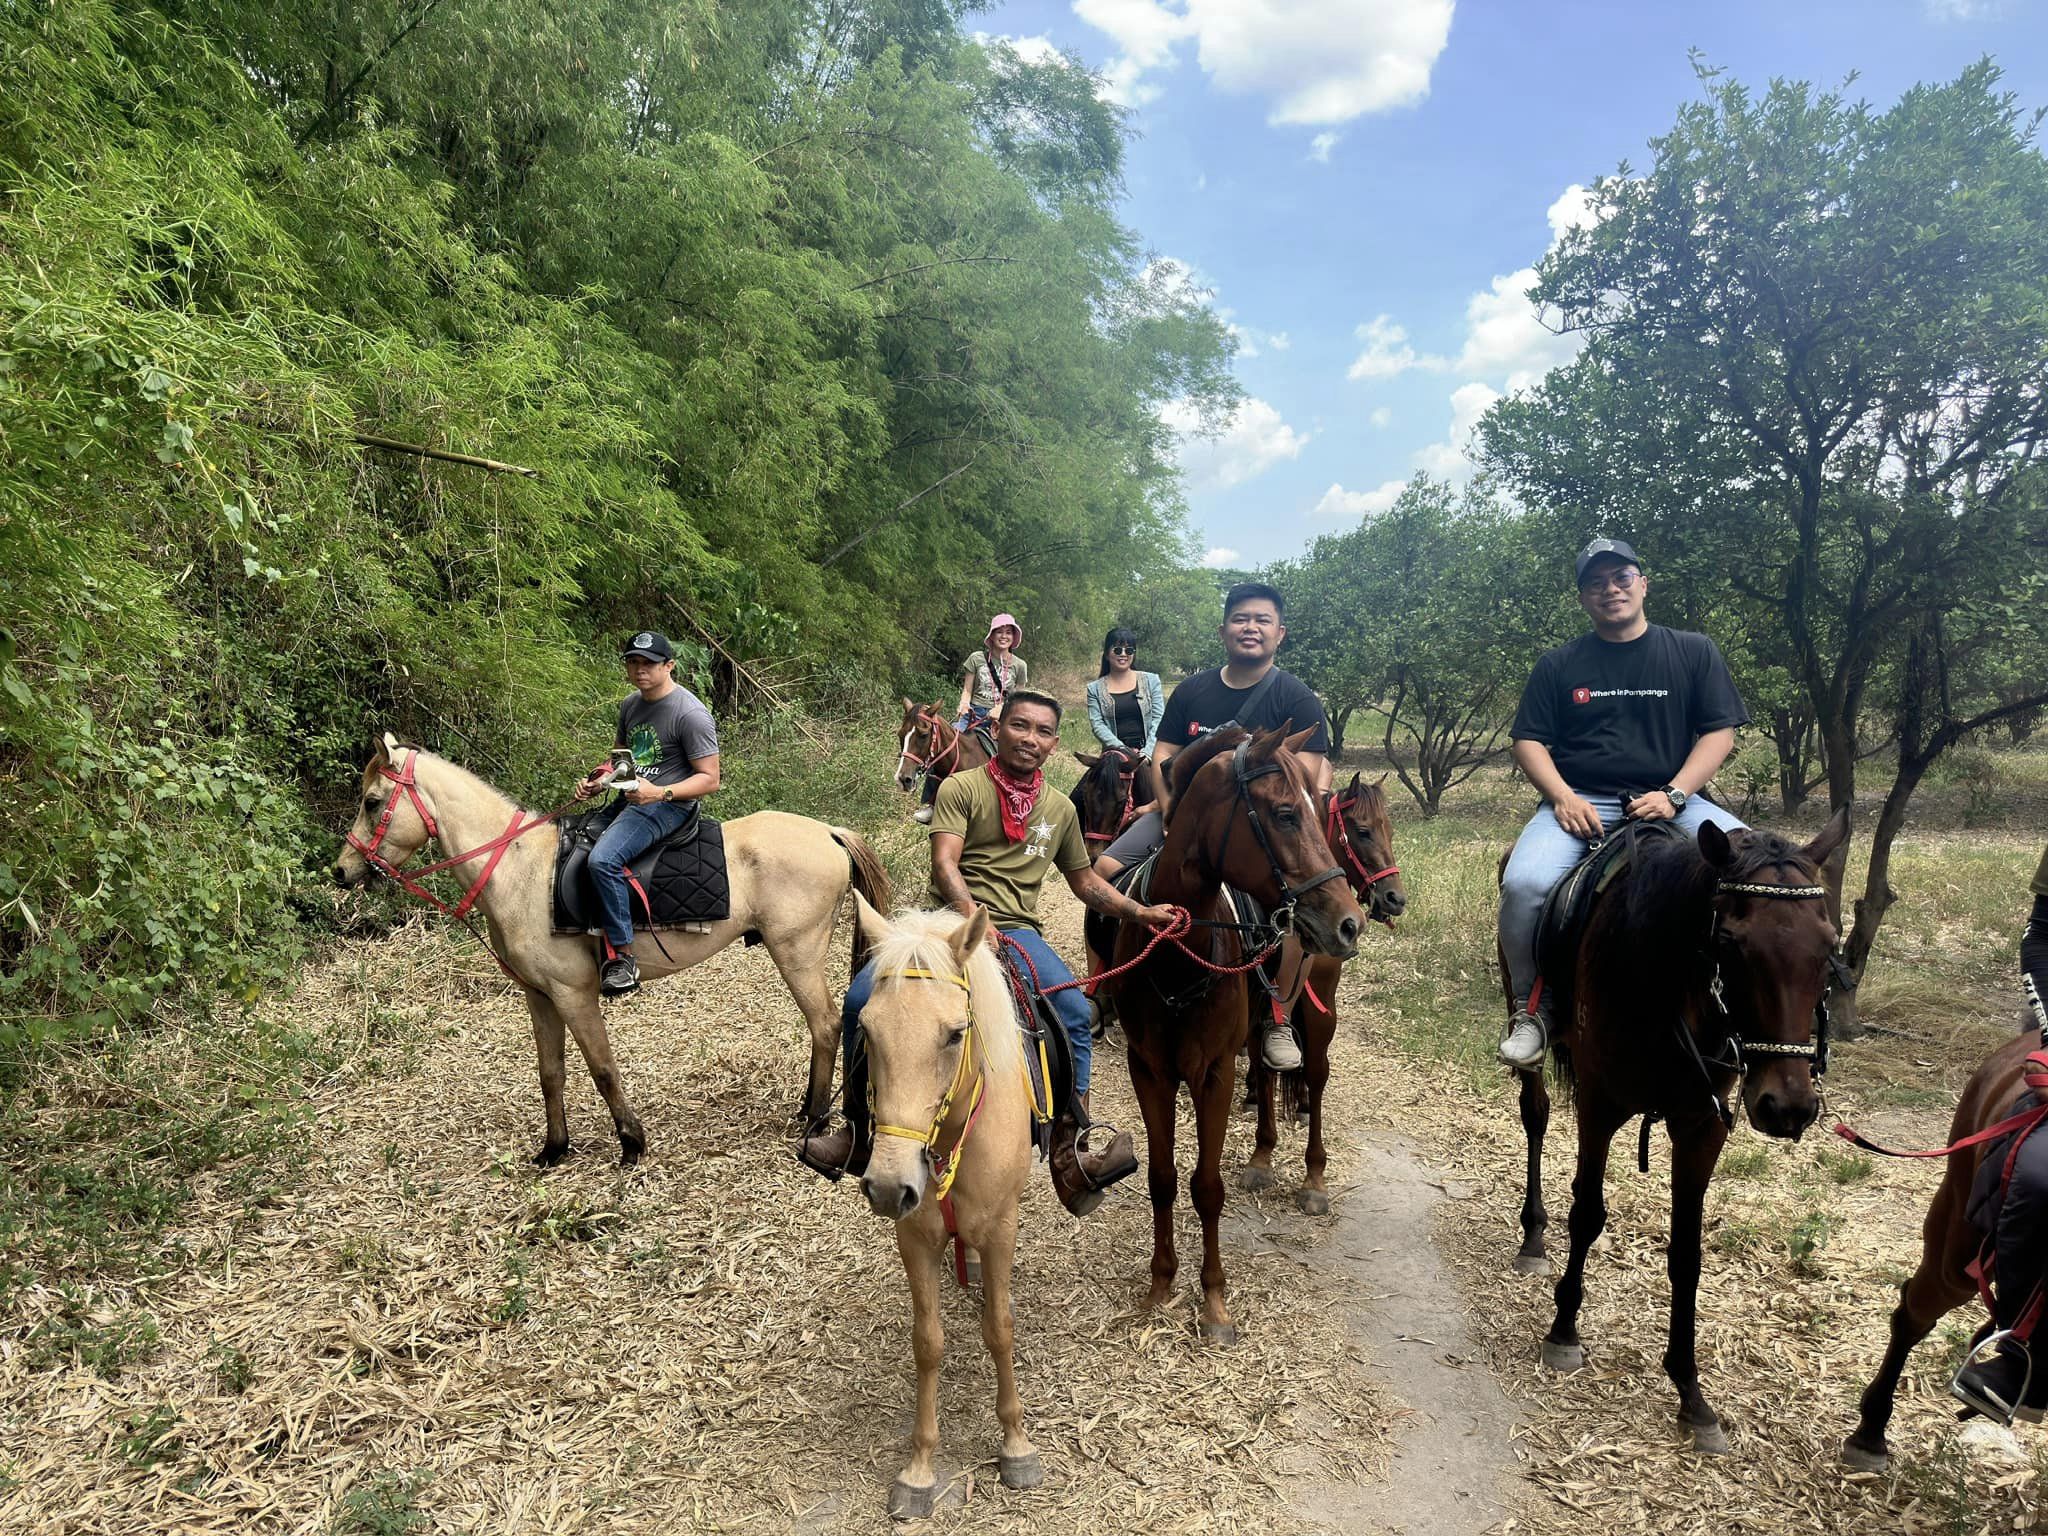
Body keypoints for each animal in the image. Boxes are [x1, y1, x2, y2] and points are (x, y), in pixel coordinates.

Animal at [329, 737, 888, 1163]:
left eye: (372, 801)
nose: (340, 870)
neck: (519, 870)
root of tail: (828, 831)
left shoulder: (573, 994)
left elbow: (601, 1068)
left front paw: (631, 1143)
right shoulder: (539, 996)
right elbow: (550, 1073)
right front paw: (554, 1148)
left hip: (796, 950)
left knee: (824, 1024)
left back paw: (814, 1119)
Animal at [1105, 729, 1359, 1343]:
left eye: (1316, 809)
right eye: (1286, 814)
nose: (1349, 921)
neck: (1176, 954)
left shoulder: (1214, 1075)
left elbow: (1207, 1187)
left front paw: (1214, 1301)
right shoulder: (1148, 1070)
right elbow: (1163, 1178)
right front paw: (1160, 1285)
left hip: (1319, 1018)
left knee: (1315, 1081)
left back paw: (1312, 1180)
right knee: (1266, 1073)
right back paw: (1263, 1159)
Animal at [1228, 774, 1409, 1220]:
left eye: (1390, 831)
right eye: (1362, 831)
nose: (1395, 898)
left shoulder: (1322, 1005)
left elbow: (1316, 1071)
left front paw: (1314, 1177)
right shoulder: (1260, 997)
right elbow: (1267, 1062)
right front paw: (1262, 1157)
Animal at [1531, 819, 1851, 1458]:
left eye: (1829, 946)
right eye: (1729, 943)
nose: (1787, 1107)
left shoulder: (1703, 1124)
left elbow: (1687, 1252)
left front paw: (1690, 1390)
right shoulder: (1599, 1107)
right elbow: (1587, 1213)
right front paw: (1564, 1329)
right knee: (1535, 1114)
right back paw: (1532, 1232)